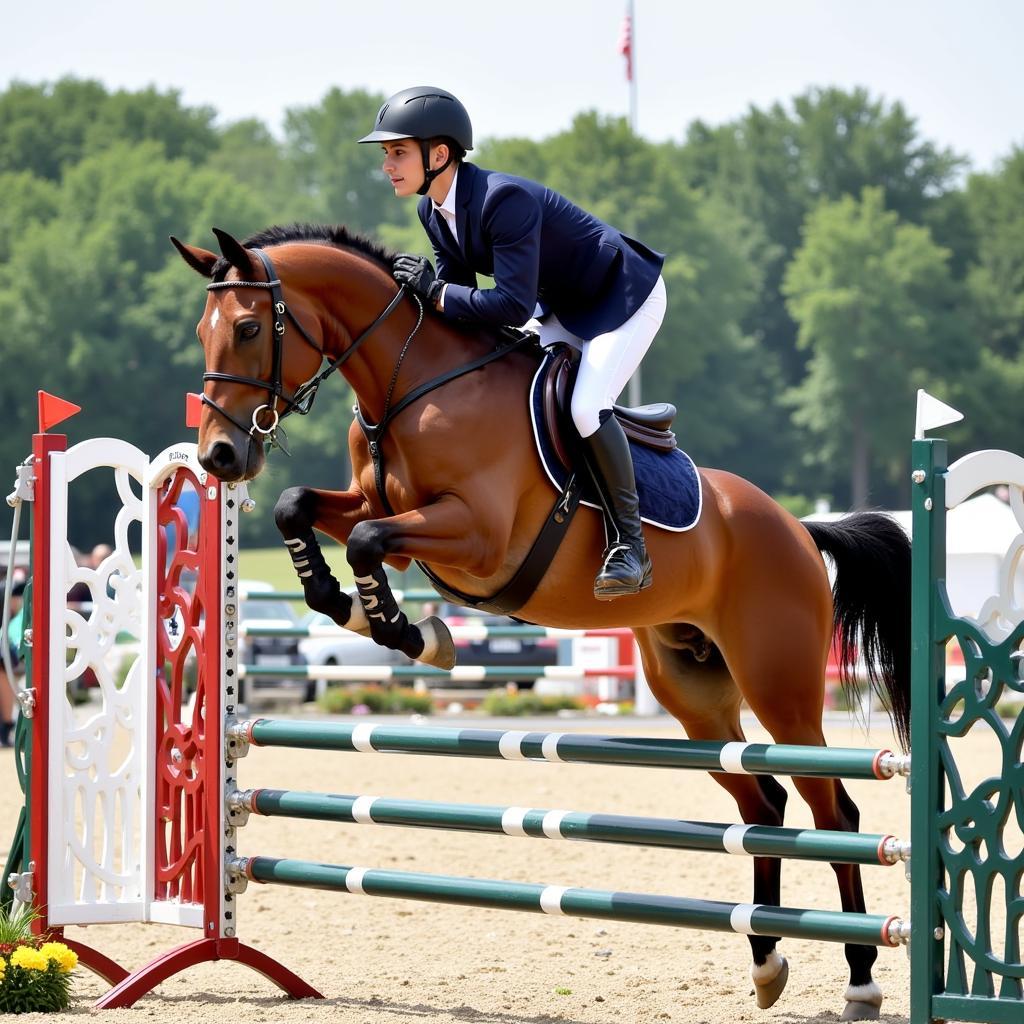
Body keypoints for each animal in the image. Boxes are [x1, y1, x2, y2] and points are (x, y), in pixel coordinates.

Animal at [169, 220, 913, 1019]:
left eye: (249, 328)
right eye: (203, 330)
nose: (220, 456)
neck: (408, 383)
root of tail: (800, 528)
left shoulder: (476, 534)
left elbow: (368, 539)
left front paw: (411, 634)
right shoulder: (374, 503)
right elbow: (297, 507)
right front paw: (348, 607)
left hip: (781, 685)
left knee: (834, 814)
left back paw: (861, 979)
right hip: (693, 689)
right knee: (763, 801)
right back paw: (766, 960)